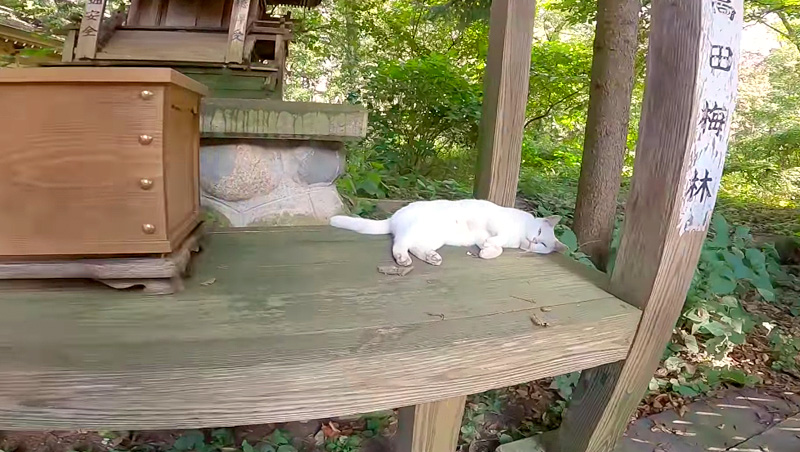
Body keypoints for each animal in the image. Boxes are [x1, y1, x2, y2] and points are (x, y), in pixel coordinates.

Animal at [326, 200, 568, 266]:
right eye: (538, 231)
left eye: (542, 245)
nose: (534, 240)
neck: (518, 236)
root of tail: (394, 218)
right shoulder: (496, 223)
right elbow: (497, 238)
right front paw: (491, 246)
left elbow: (496, 248)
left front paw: (487, 252)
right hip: (415, 228)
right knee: (399, 244)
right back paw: (403, 259)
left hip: (434, 238)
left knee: (415, 247)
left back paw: (432, 258)